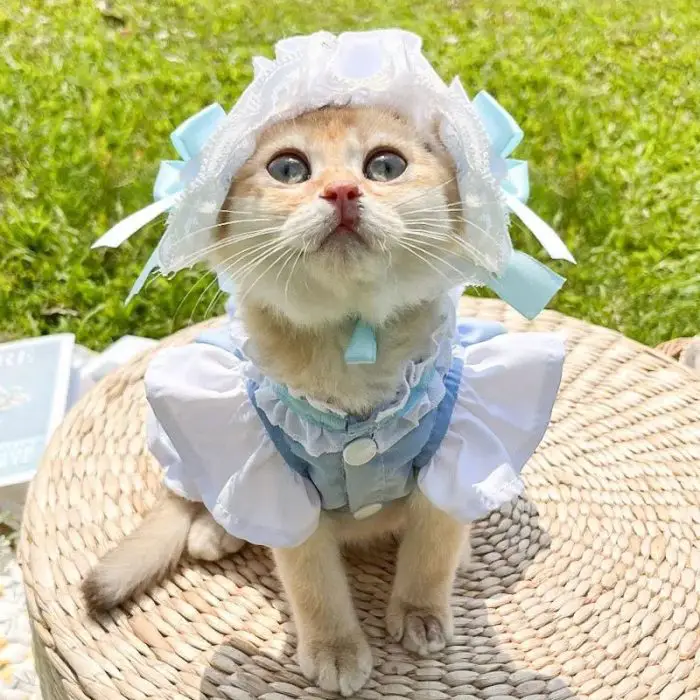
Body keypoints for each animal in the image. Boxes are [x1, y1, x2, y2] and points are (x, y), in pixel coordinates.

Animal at [86, 106, 470, 696]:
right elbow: (315, 587)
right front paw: (335, 648)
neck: (350, 344)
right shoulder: (284, 490)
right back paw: (214, 532)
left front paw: (420, 612)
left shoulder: (448, 470)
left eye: (386, 165)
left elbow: (430, 556)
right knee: (200, 498)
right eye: (288, 169)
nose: (342, 191)